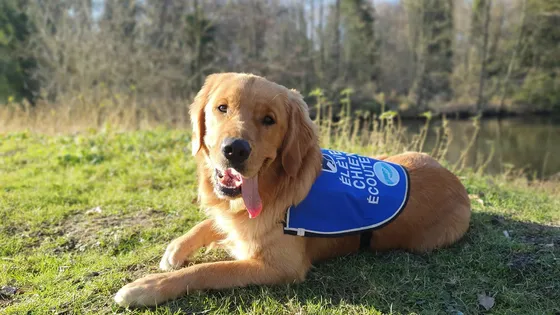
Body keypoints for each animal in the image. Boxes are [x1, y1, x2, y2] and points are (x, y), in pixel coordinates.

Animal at [115, 73, 472, 308]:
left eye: (269, 120)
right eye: (222, 108)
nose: (235, 150)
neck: (270, 189)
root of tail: (458, 183)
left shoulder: (279, 267)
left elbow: (208, 270)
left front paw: (145, 287)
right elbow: (208, 224)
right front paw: (176, 248)